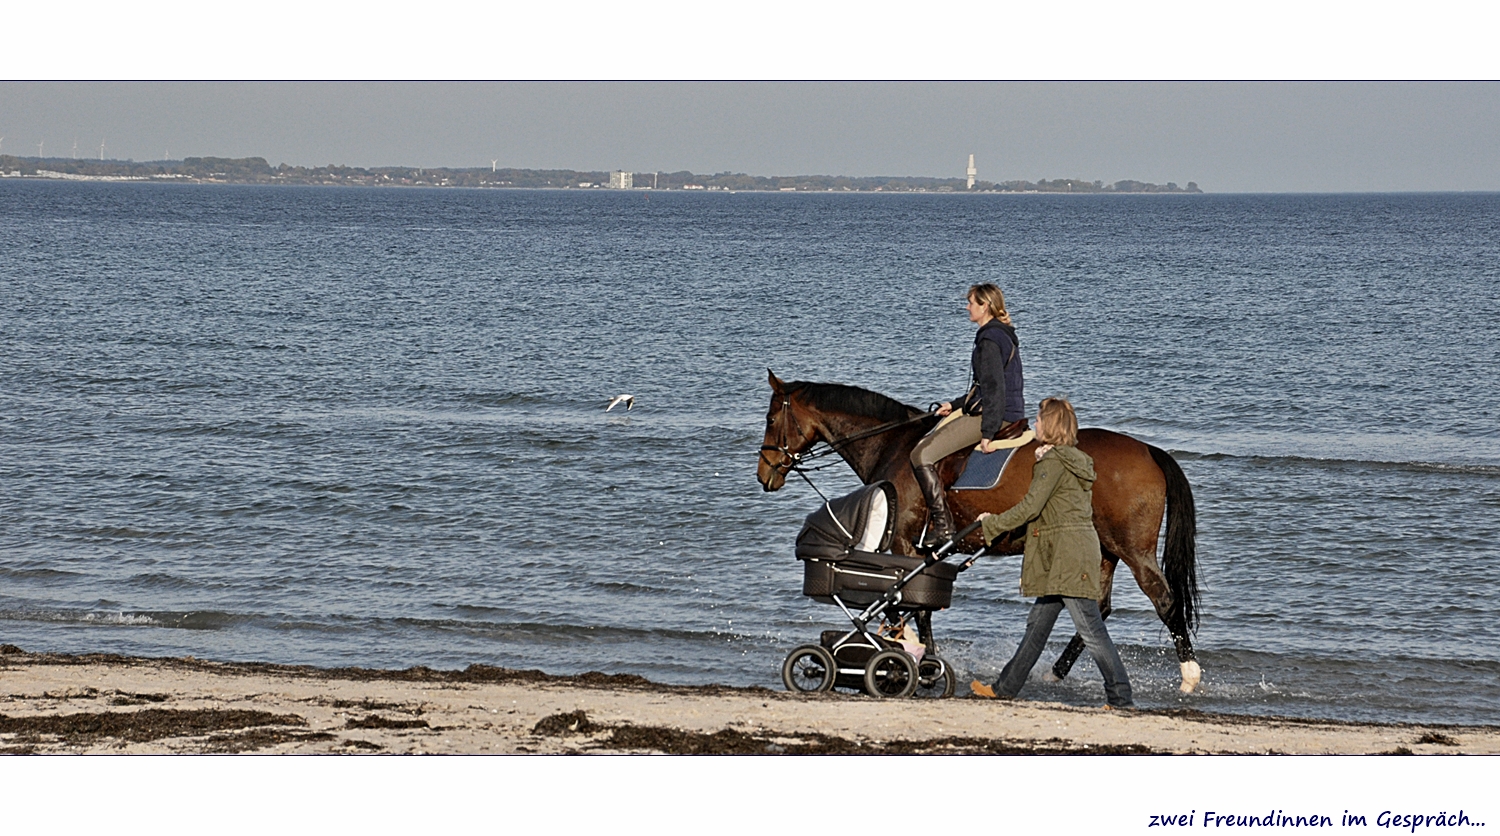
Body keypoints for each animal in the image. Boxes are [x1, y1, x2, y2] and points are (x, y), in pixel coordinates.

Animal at [756, 370, 1200, 690]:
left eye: (771, 418)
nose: (764, 474)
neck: (894, 444)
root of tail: (1148, 451)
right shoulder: (918, 555)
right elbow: (911, 604)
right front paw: (908, 649)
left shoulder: (905, 545)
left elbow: (911, 605)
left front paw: (911, 655)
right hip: (1104, 549)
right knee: (1099, 608)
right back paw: (1055, 672)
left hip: (1132, 550)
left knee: (1163, 599)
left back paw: (1190, 676)